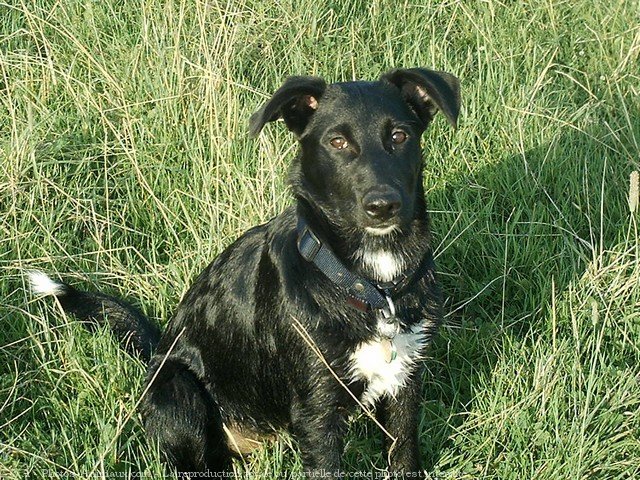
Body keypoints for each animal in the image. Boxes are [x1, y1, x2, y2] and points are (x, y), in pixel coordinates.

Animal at [30, 67, 460, 476]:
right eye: (337, 142)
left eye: (400, 136)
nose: (382, 206)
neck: (369, 282)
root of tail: (159, 349)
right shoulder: (317, 411)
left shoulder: (405, 384)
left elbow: (404, 456)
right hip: (179, 393)